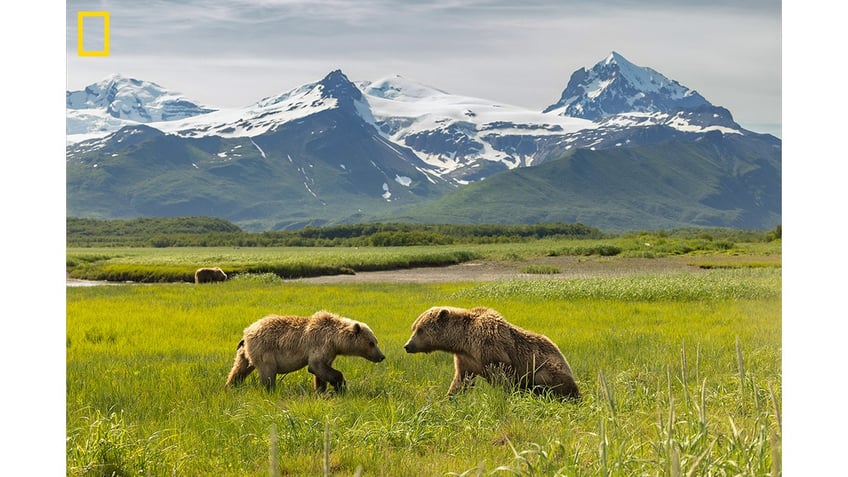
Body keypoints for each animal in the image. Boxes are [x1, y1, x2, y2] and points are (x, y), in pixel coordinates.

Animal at [224, 310, 386, 392]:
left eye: (375, 341)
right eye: (371, 343)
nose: (381, 356)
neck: (335, 339)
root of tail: (246, 332)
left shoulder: (330, 352)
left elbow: (321, 372)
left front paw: (321, 390)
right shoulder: (320, 344)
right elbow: (316, 366)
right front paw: (340, 386)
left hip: (245, 353)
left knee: (239, 369)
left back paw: (230, 386)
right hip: (264, 350)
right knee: (268, 373)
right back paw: (270, 390)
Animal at [402, 304, 576, 398]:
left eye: (420, 330)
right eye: (414, 327)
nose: (407, 345)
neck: (464, 342)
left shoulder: (490, 347)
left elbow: (503, 378)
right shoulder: (466, 360)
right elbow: (461, 381)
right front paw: (449, 398)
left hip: (549, 368)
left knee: (546, 380)